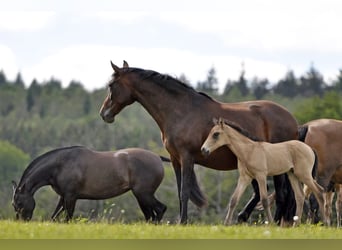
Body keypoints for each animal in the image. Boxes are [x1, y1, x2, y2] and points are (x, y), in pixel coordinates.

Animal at [12, 146, 168, 222]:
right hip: (141, 197)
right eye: (14, 205)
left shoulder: (71, 197)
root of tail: (157, 157)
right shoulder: (63, 197)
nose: (21, 221)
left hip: (144, 194)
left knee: (160, 209)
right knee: (150, 215)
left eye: (19, 203)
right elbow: (54, 217)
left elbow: (68, 218)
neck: (60, 165)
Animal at [99, 61, 300, 225]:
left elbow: (185, 191)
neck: (181, 111)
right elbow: (180, 191)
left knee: (281, 194)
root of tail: (292, 120)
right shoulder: (175, 160)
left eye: (111, 85)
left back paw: (274, 223)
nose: (104, 114)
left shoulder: (187, 158)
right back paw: (243, 218)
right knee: (263, 192)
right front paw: (181, 220)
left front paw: (183, 222)